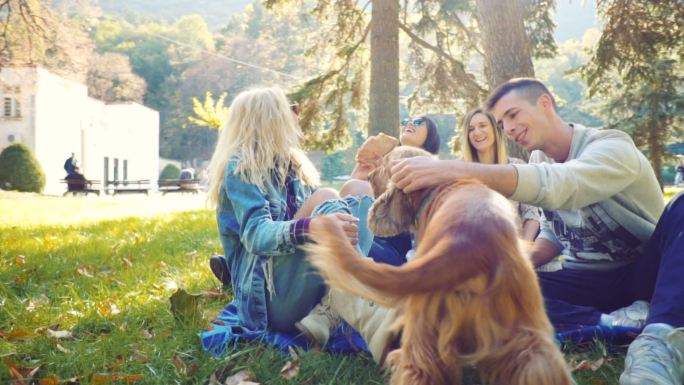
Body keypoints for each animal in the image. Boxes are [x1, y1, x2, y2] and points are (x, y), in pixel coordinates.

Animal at [304, 146, 572, 384]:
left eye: (385, 164)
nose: (368, 176)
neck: (437, 186)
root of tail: (470, 245)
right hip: (526, 331)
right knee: (538, 364)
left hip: (425, 326)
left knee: (419, 369)